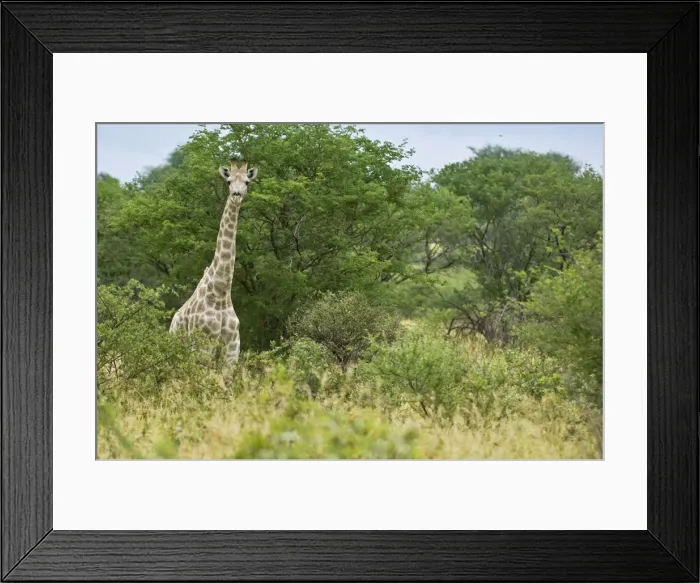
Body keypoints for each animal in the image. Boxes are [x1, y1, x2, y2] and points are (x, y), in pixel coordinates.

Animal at [169, 157, 258, 364]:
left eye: (247, 182)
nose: (236, 195)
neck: (220, 293)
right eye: (228, 181)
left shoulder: (232, 350)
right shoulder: (203, 346)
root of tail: (171, 324)